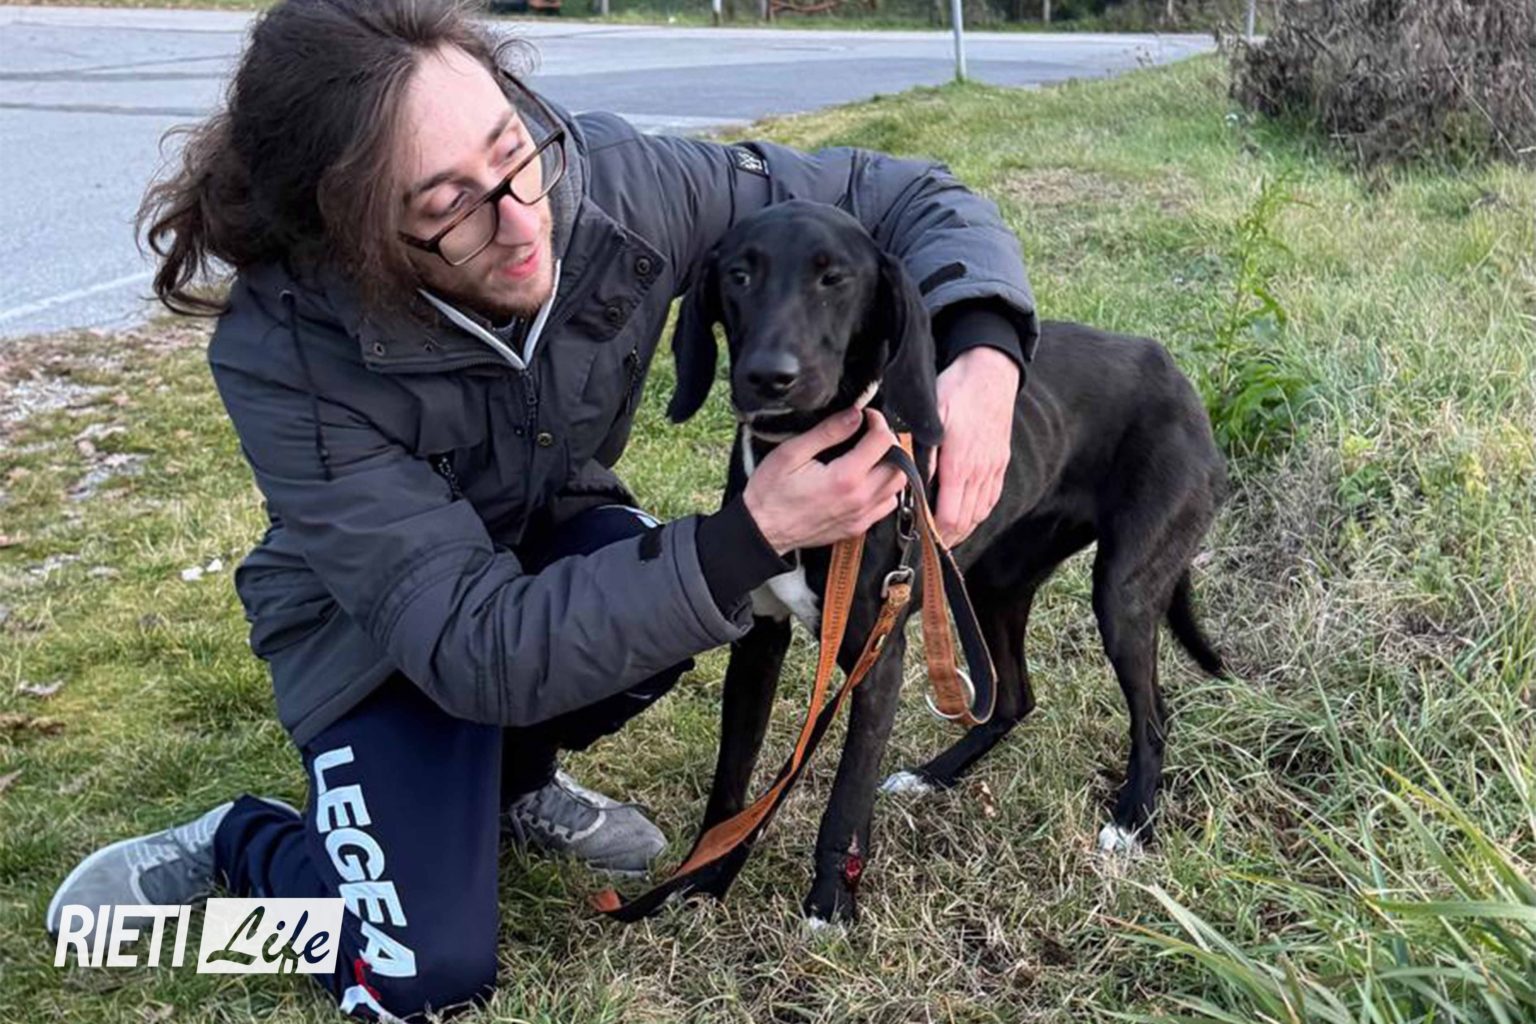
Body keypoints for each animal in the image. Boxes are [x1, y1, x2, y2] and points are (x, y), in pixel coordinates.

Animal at [666, 200, 1227, 925]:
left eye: (834, 279)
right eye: (739, 274)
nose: (769, 376)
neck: (810, 452)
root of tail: (1180, 379)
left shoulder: (879, 653)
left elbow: (846, 794)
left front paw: (828, 905)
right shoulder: (760, 644)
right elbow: (733, 779)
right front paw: (703, 879)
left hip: (1123, 591)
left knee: (1155, 712)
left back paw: (1133, 820)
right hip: (991, 584)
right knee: (1015, 698)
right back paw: (934, 775)